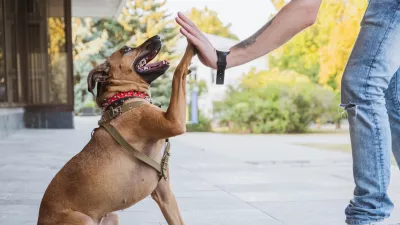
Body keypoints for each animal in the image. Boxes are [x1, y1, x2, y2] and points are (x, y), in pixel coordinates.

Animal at [36, 36, 196, 224]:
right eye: (126, 49)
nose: (157, 37)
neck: (124, 98)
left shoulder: (164, 193)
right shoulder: (174, 121)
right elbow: (178, 72)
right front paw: (192, 45)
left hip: (112, 216)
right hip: (84, 219)